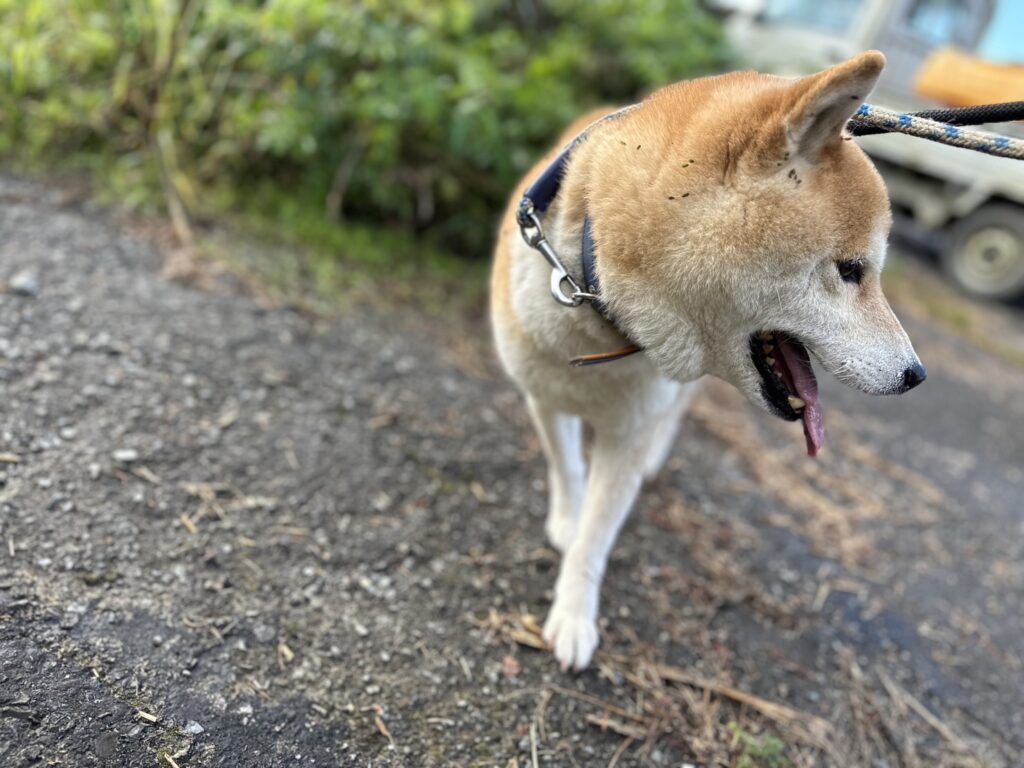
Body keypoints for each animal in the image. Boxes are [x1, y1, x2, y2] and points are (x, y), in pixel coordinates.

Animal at [490, 51, 925, 671]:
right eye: (851, 269)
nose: (917, 375)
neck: (598, 307)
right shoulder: (541, 392)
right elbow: (566, 465)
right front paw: (566, 522)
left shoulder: (631, 430)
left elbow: (597, 538)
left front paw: (573, 615)